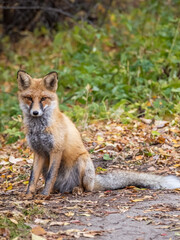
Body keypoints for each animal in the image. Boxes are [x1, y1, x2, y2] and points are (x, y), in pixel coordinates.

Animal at [17, 70, 180, 197]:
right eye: (29, 98)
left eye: (43, 99)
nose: (35, 112)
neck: (39, 129)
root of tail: (94, 180)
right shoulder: (39, 152)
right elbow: (32, 177)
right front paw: (29, 195)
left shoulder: (56, 150)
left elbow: (51, 176)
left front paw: (44, 195)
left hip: (82, 162)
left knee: (85, 188)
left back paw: (76, 190)